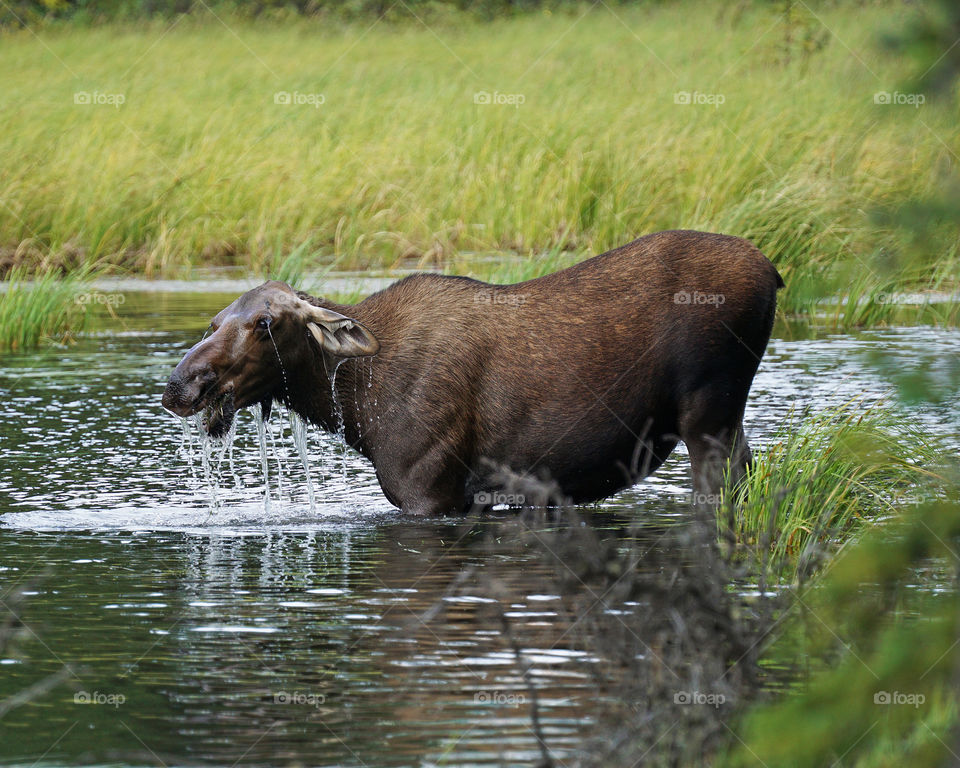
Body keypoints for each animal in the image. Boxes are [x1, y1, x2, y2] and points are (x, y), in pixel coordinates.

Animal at [163, 230, 780, 516]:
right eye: (214, 320)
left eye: (265, 323)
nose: (183, 384)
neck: (357, 405)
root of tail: (774, 273)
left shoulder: (430, 492)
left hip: (709, 408)